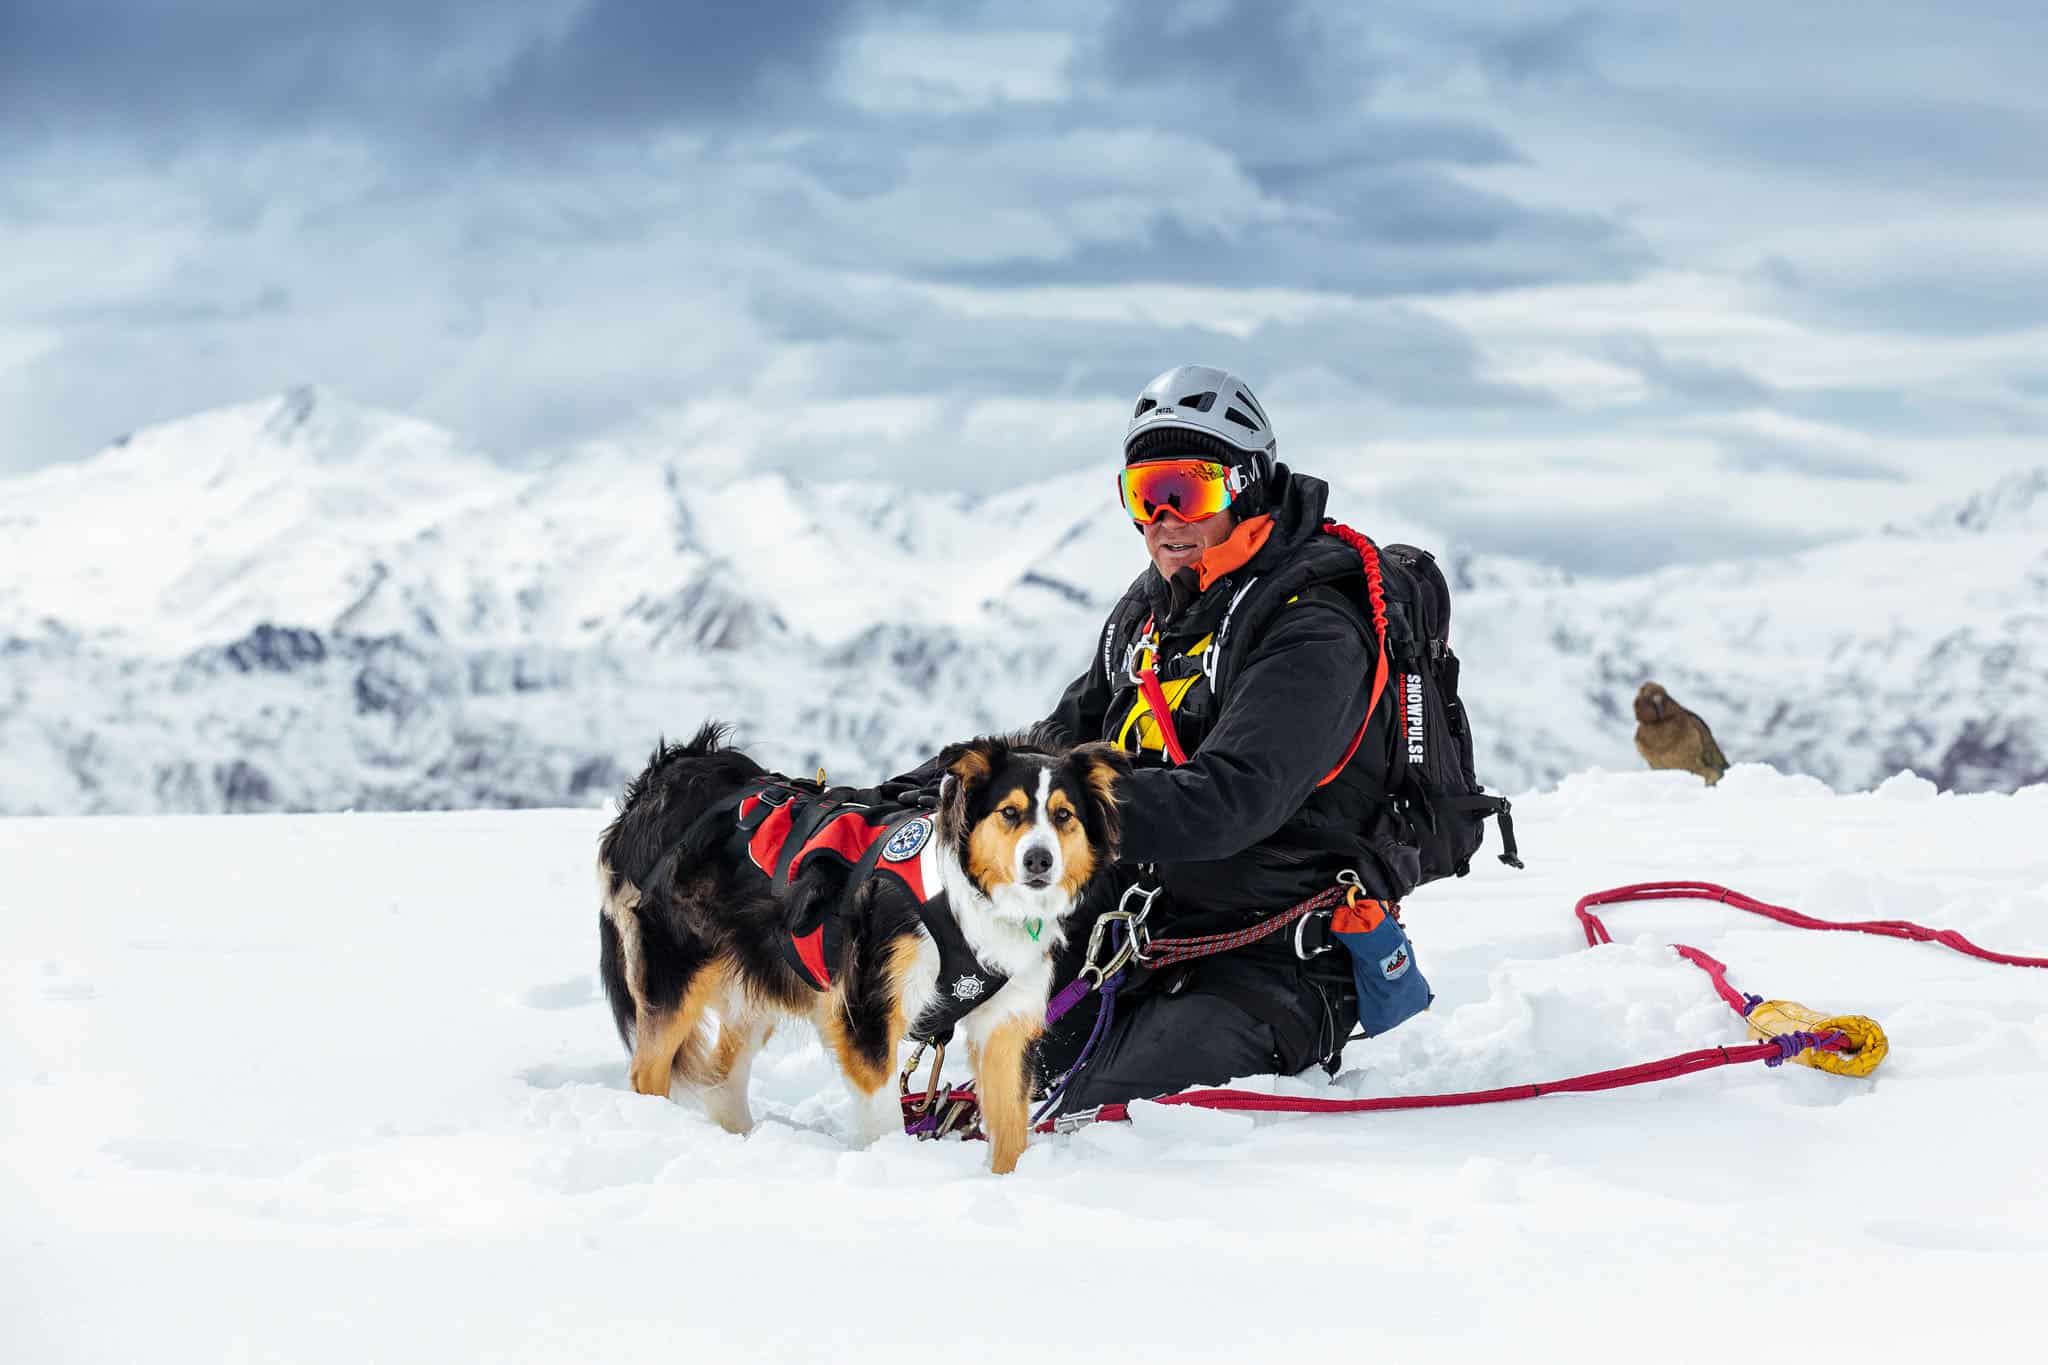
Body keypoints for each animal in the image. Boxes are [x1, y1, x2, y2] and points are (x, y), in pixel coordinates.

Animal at [593, 724, 1138, 1178]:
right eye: (1010, 813)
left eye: (1063, 816)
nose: (1039, 860)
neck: (965, 900)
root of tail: (672, 775)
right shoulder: (867, 1008)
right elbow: (883, 1110)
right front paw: (892, 1166)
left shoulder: (1006, 1020)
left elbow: (1009, 1128)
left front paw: (1007, 1182)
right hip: (678, 971)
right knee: (649, 1069)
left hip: (758, 976)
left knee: (723, 1077)